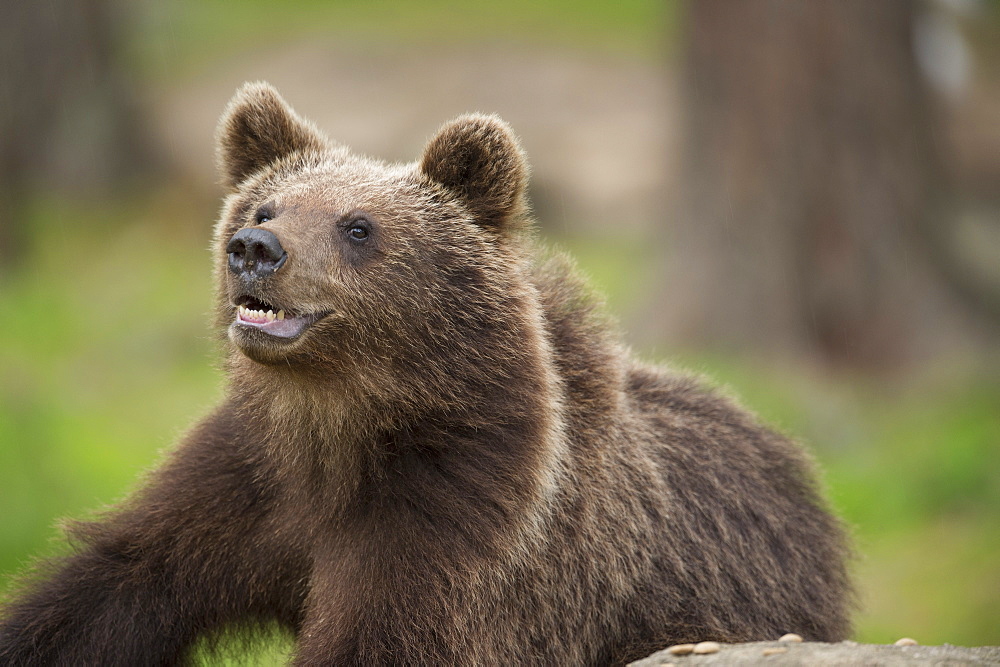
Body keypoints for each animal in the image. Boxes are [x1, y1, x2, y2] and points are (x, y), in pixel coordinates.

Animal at [0, 81, 852, 664]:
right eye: (267, 205)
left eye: (358, 227)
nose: (255, 248)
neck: (335, 425)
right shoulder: (240, 484)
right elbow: (110, 583)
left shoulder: (453, 520)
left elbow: (385, 634)